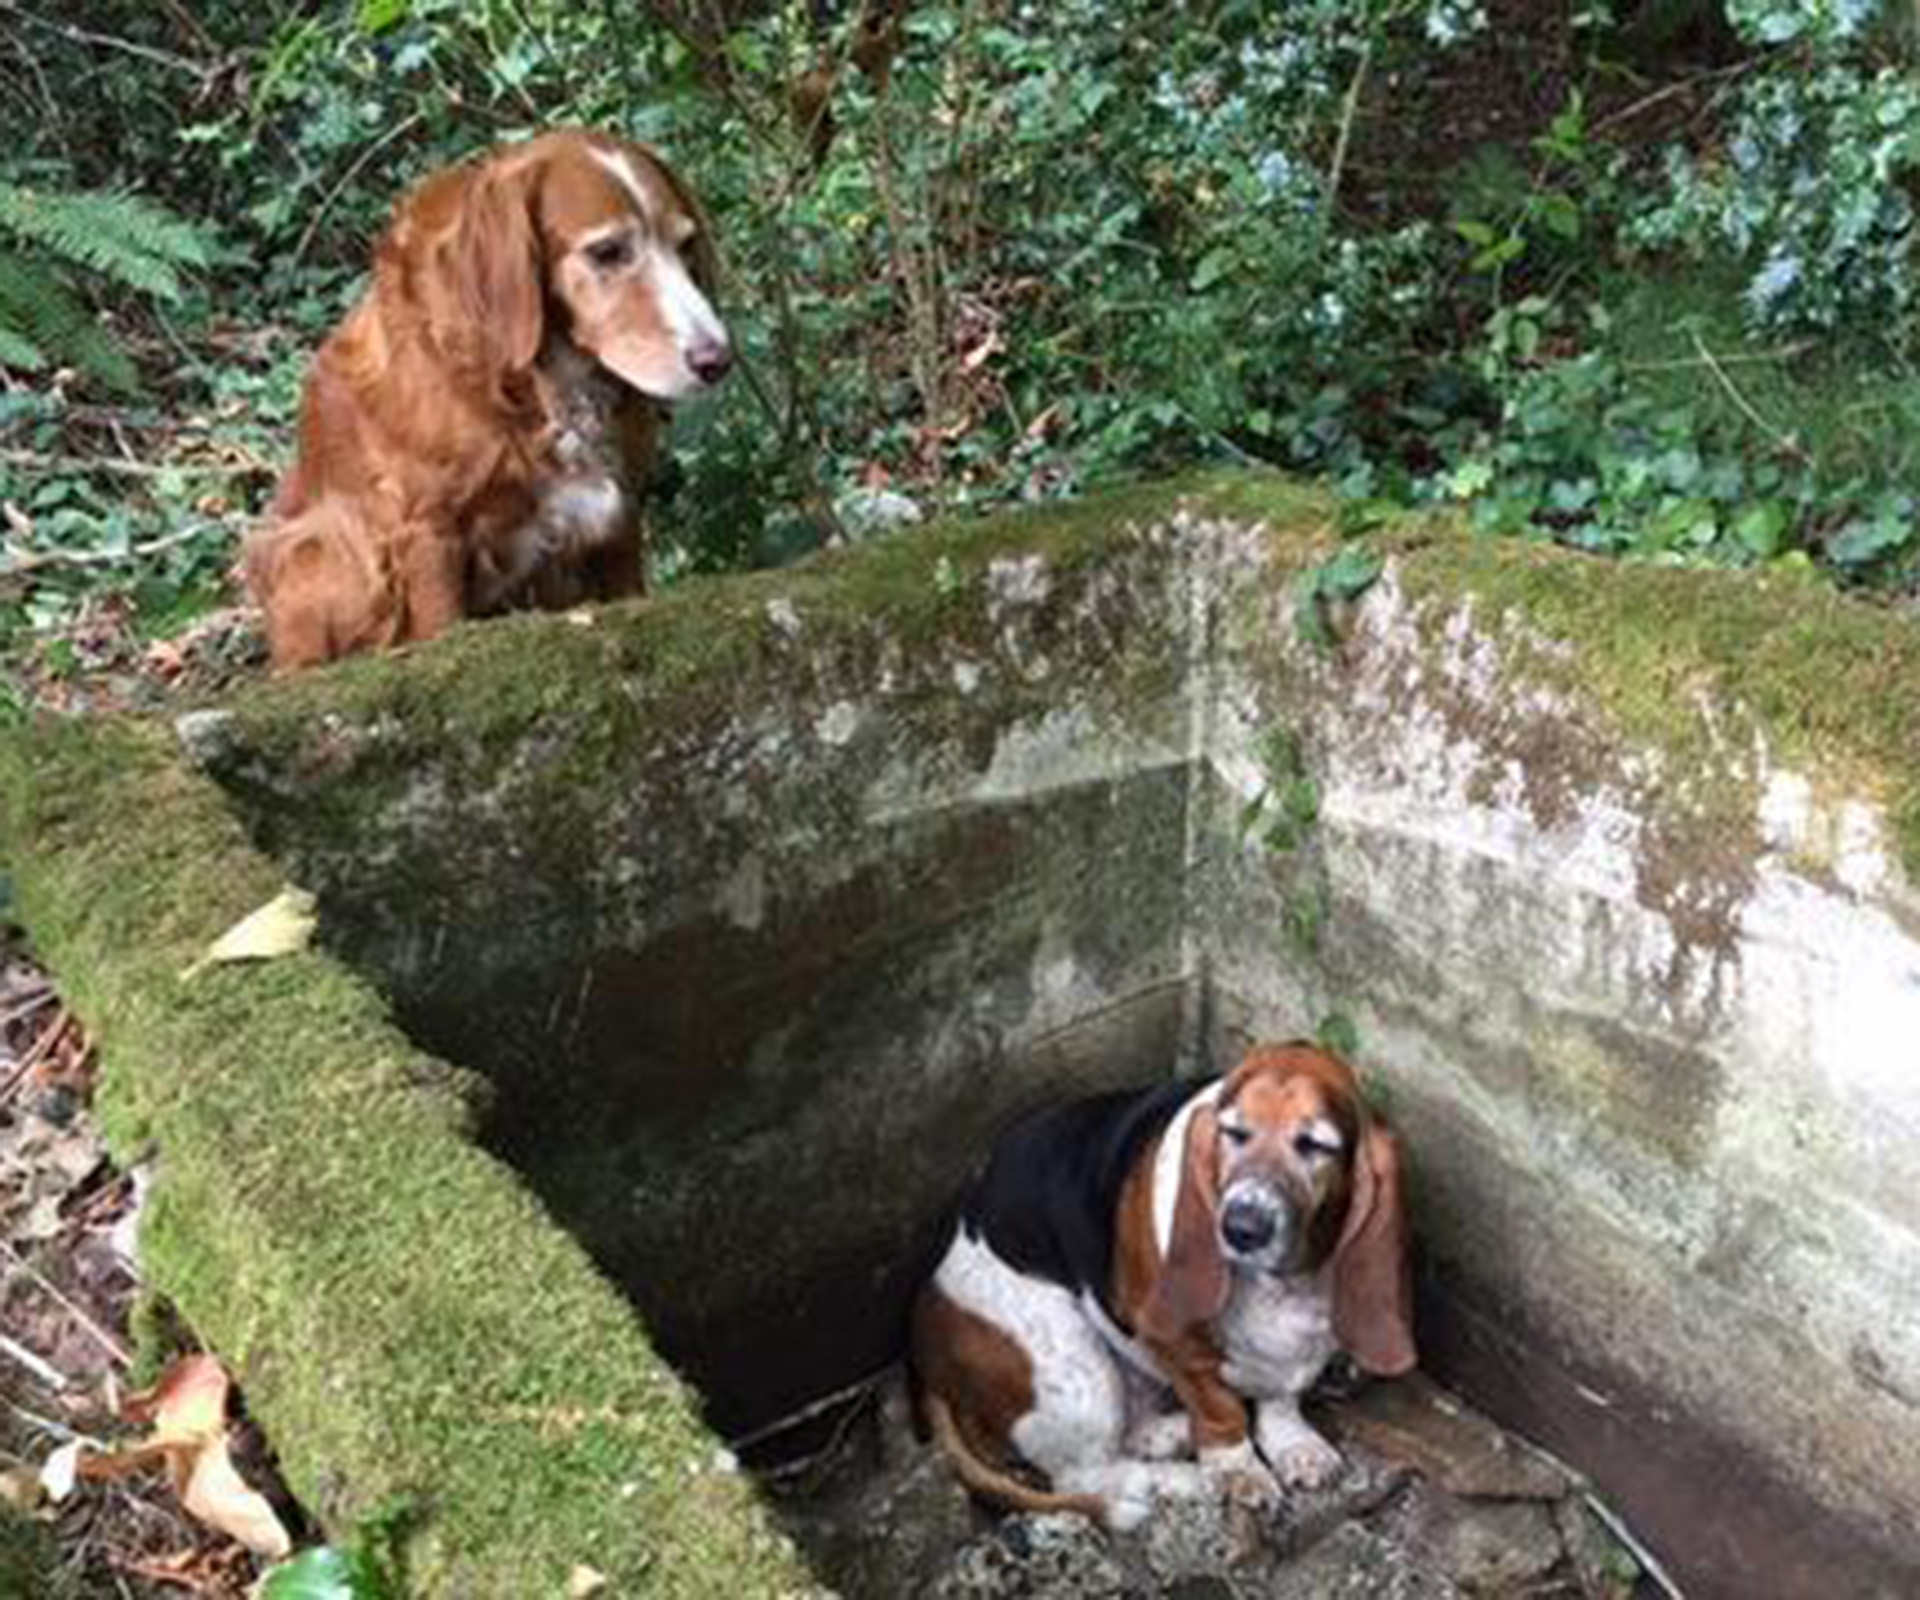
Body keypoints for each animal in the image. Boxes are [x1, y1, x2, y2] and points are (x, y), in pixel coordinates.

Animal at [240, 127, 721, 668]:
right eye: (607, 252)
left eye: (685, 246)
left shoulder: (618, 514)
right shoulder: (427, 532)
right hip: (320, 547)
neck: (536, 385)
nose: (719, 360)